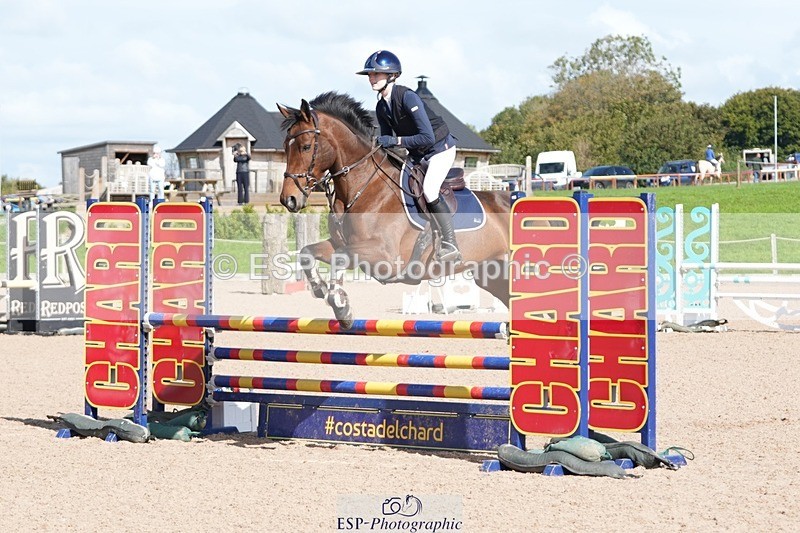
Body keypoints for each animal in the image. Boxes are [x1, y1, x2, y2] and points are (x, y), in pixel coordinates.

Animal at [277, 92, 513, 328]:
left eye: (306, 146)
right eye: (285, 146)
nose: (289, 199)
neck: (365, 187)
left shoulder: (385, 256)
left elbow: (340, 258)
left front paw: (341, 305)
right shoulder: (341, 243)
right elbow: (307, 253)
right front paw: (320, 289)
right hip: (491, 274)